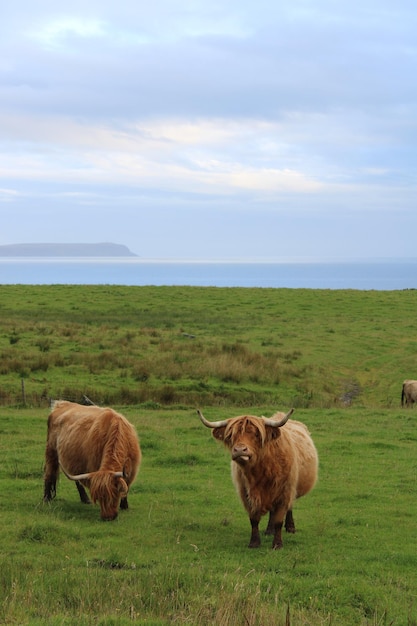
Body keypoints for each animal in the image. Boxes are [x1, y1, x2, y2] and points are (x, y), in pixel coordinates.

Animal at [198, 404, 318, 544]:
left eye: (256, 434)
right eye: (231, 435)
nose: (240, 450)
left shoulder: (285, 491)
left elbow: (279, 520)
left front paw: (277, 544)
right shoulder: (246, 493)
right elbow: (254, 520)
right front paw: (254, 542)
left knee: (289, 507)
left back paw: (290, 527)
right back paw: (269, 530)